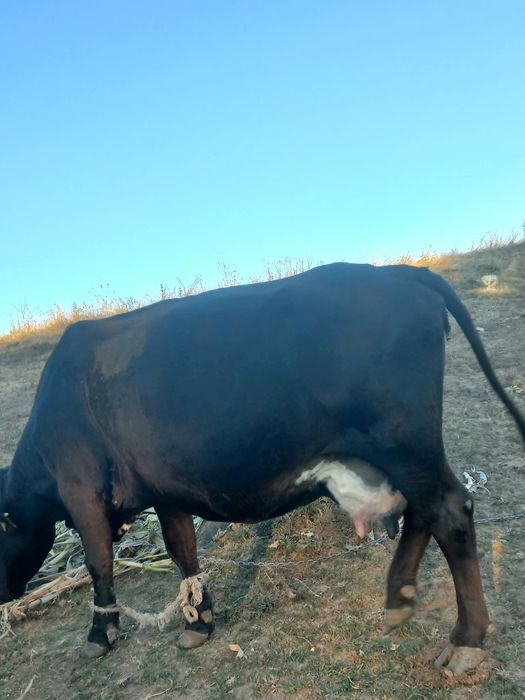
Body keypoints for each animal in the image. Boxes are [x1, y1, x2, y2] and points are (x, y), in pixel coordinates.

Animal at [1, 263, 524, 675]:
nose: (5, 594)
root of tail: (394, 271)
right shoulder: (166, 490)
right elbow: (182, 552)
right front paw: (198, 622)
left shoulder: (82, 489)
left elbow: (100, 565)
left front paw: (99, 635)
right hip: (403, 452)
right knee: (424, 513)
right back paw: (399, 599)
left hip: (405, 442)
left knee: (450, 512)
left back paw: (465, 641)